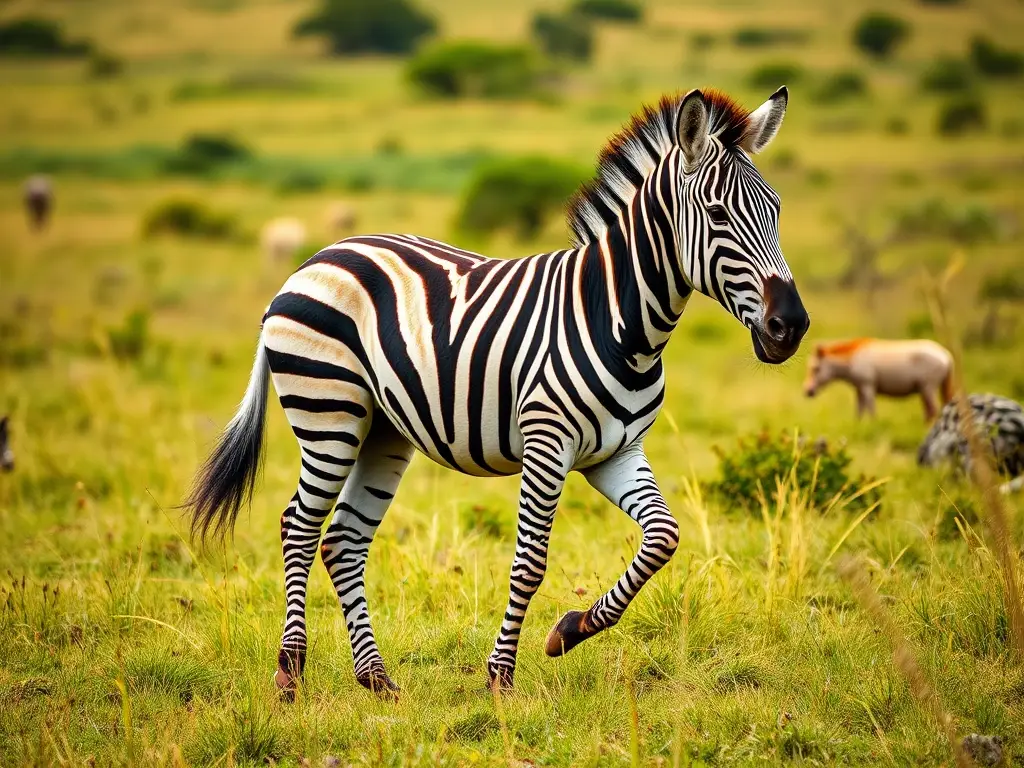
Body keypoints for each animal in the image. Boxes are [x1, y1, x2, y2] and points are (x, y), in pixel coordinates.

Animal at [185, 87, 810, 696]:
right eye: (718, 214)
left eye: (779, 210)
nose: (792, 326)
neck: (622, 326)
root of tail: (316, 259)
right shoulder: (547, 445)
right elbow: (530, 562)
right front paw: (501, 678)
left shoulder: (616, 452)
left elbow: (663, 537)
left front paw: (570, 630)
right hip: (329, 412)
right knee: (298, 526)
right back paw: (290, 674)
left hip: (383, 431)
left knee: (342, 539)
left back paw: (376, 679)